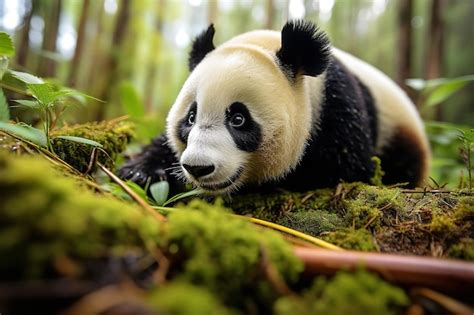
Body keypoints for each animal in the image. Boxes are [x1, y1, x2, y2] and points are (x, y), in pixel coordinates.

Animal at [118, 20, 430, 195]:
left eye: (239, 119)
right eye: (191, 117)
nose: (198, 167)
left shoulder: (337, 107)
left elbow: (343, 171)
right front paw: (141, 171)